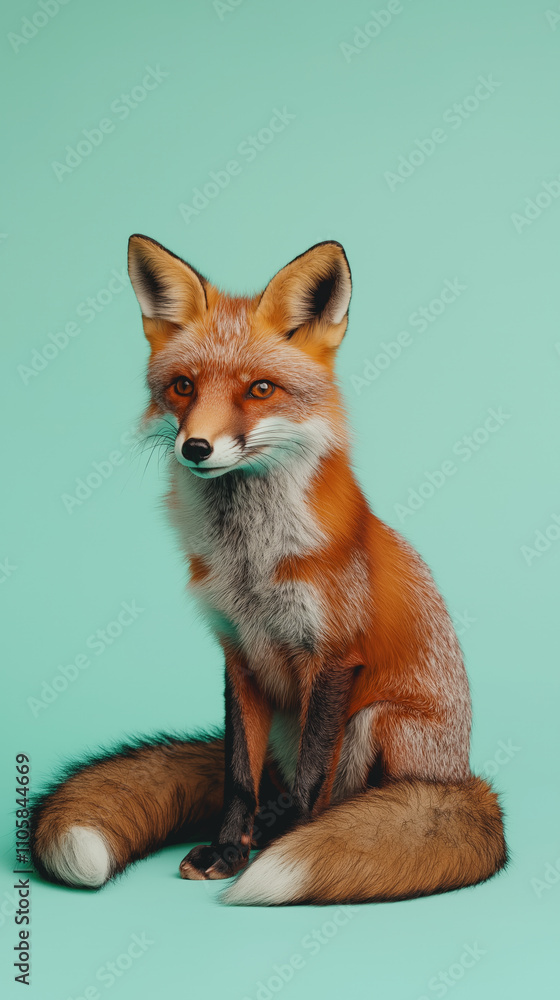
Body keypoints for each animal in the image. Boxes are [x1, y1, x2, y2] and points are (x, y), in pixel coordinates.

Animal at [30, 235, 507, 905]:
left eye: (259, 389)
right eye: (182, 386)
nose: (196, 448)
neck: (249, 564)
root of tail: (466, 780)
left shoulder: (332, 656)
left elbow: (311, 779)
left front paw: (283, 845)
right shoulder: (238, 653)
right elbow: (237, 774)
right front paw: (232, 848)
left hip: (378, 720)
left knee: (343, 796)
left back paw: (305, 828)